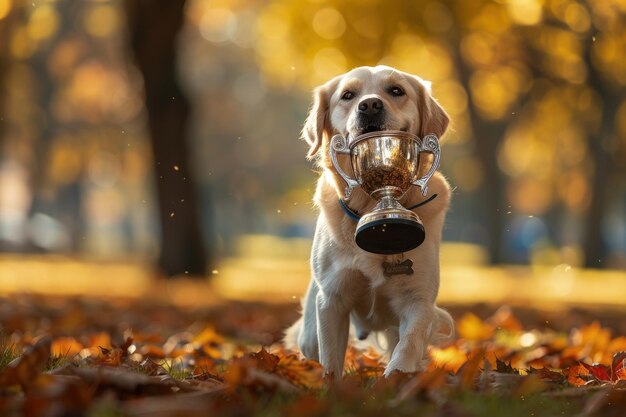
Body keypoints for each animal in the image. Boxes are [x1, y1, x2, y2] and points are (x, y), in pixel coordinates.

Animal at [284, 64, 454, 376]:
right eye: (348, 95)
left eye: (397, 90)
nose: (371, 105)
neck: (371, 206)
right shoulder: (332, 298)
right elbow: (330, 360)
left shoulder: (419, 300)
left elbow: (409, 343)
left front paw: (396, 376)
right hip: (309, 332)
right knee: (312, 342)